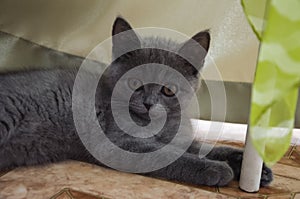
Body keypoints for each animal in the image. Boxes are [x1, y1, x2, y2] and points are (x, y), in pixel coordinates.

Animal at [0, 17, 272, 187]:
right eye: (134, 83)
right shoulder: (117, 143)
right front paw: (217, 169)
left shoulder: (179, 138)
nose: (149, 103)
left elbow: (204, 146)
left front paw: (252, 166)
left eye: (168, 90)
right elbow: (169, 155)